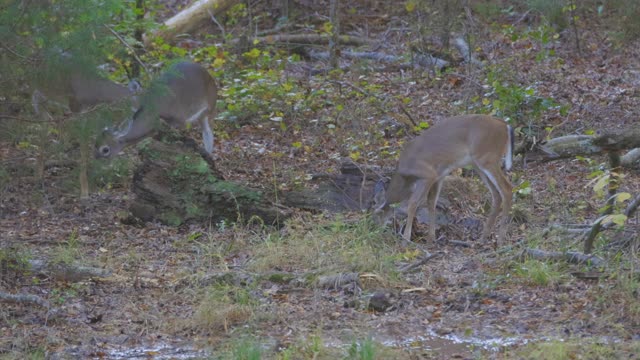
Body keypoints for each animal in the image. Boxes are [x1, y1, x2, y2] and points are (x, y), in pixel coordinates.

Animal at [370, 115, 516, 248]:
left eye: (375, 215)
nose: (374, 232)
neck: (405, 177)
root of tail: (505, 125)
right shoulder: (439, 176)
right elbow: (431, 203)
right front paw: (431, 239)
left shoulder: (428, 174)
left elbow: (413, 203)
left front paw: (405, 241)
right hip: (478, 164)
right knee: (496, 195)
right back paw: (482, 239)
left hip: (487, 157)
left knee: (507, 189)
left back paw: (500, 241)